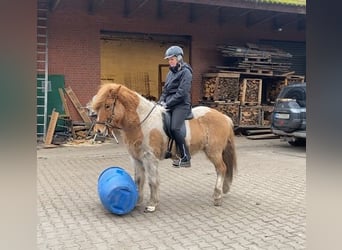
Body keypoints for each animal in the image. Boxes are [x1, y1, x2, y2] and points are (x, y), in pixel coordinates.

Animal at [92, 84, 236, 213]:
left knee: (222, 169)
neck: (142, 122)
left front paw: (152, 204)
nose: (98, 130)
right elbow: (138, 180)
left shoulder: (150, 158)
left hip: (214, 152)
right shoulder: (136, 159)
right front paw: (137, 202)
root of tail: (224, 117)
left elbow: (152, 180)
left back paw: (217, 197)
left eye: (107, 106)